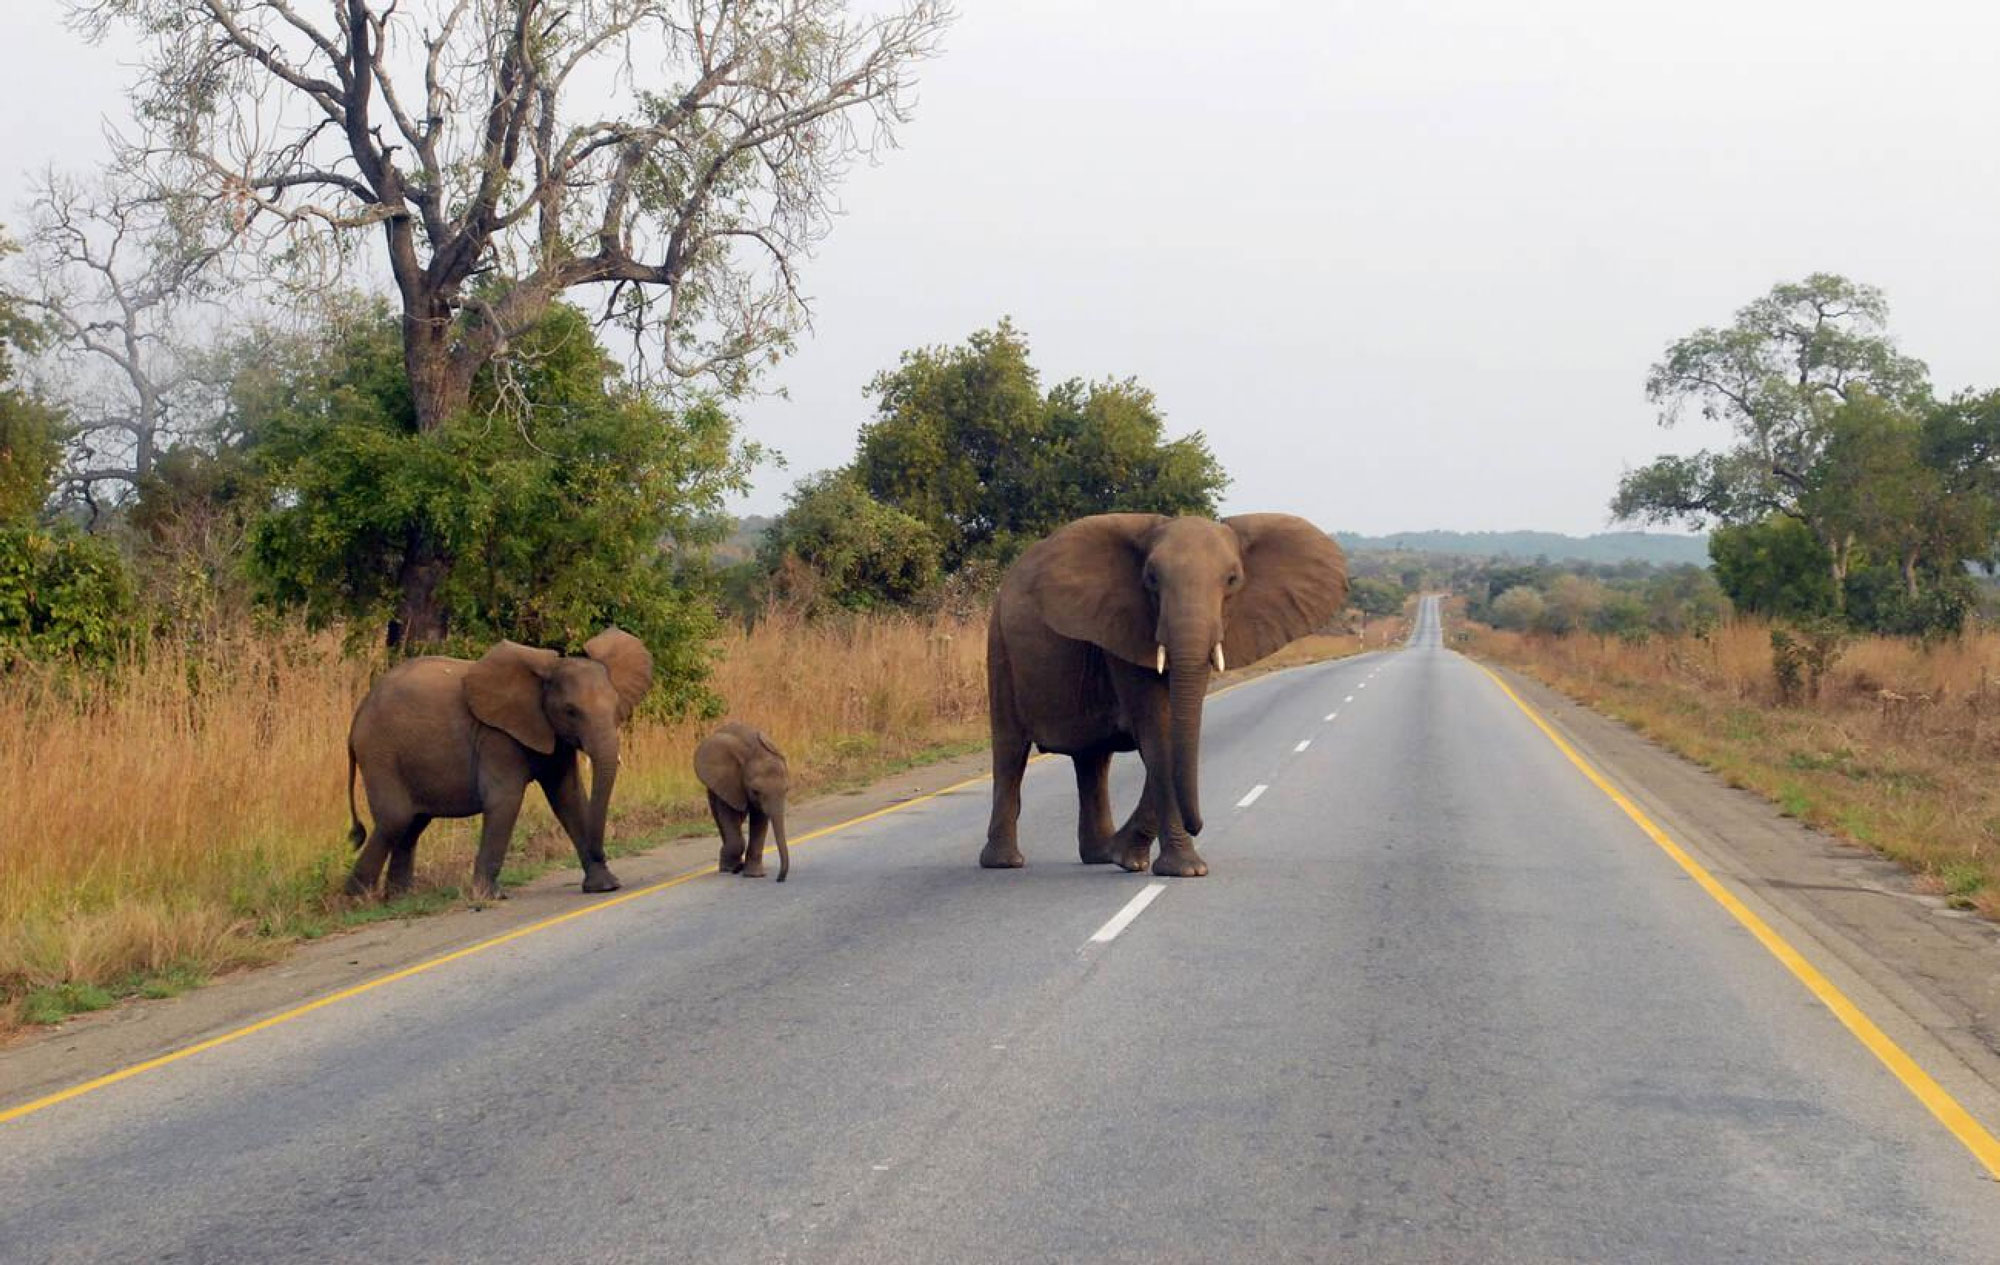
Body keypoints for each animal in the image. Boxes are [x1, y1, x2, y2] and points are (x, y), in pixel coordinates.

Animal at [346, 624, 656, 900]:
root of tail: (358, 714)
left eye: (616, 706)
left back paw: (399, 898)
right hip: (380, 753)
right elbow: (505, 799)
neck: (542, 680)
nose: (601, 851)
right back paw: (358, 899)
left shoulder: (553, 737)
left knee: (413, 822)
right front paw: (489, 896)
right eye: (570, 711)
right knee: (395, 819)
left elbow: (569, 797)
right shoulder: (496, 736)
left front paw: (604, 887)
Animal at [696, 716, 788, 884]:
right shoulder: (727, 782)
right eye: (755, 791)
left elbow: (759, 821)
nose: (779, 879)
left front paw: (754, 875)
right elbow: (729, 815)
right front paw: (732, 869)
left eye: (786, 790)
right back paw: (732, 867)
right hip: (712, 788)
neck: (753, 752)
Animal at [980, 512, 1344, 880]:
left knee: (1092, 758)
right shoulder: (1125, 627)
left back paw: (1100, 853)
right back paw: (1004, 862)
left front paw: (1127, 856)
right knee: (1011, 749)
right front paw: (1184, 870)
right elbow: (1159, 733)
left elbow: (1173, 734)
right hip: (1000, 641)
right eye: (1151, 579)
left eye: (1232, 580)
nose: (1199, 824)